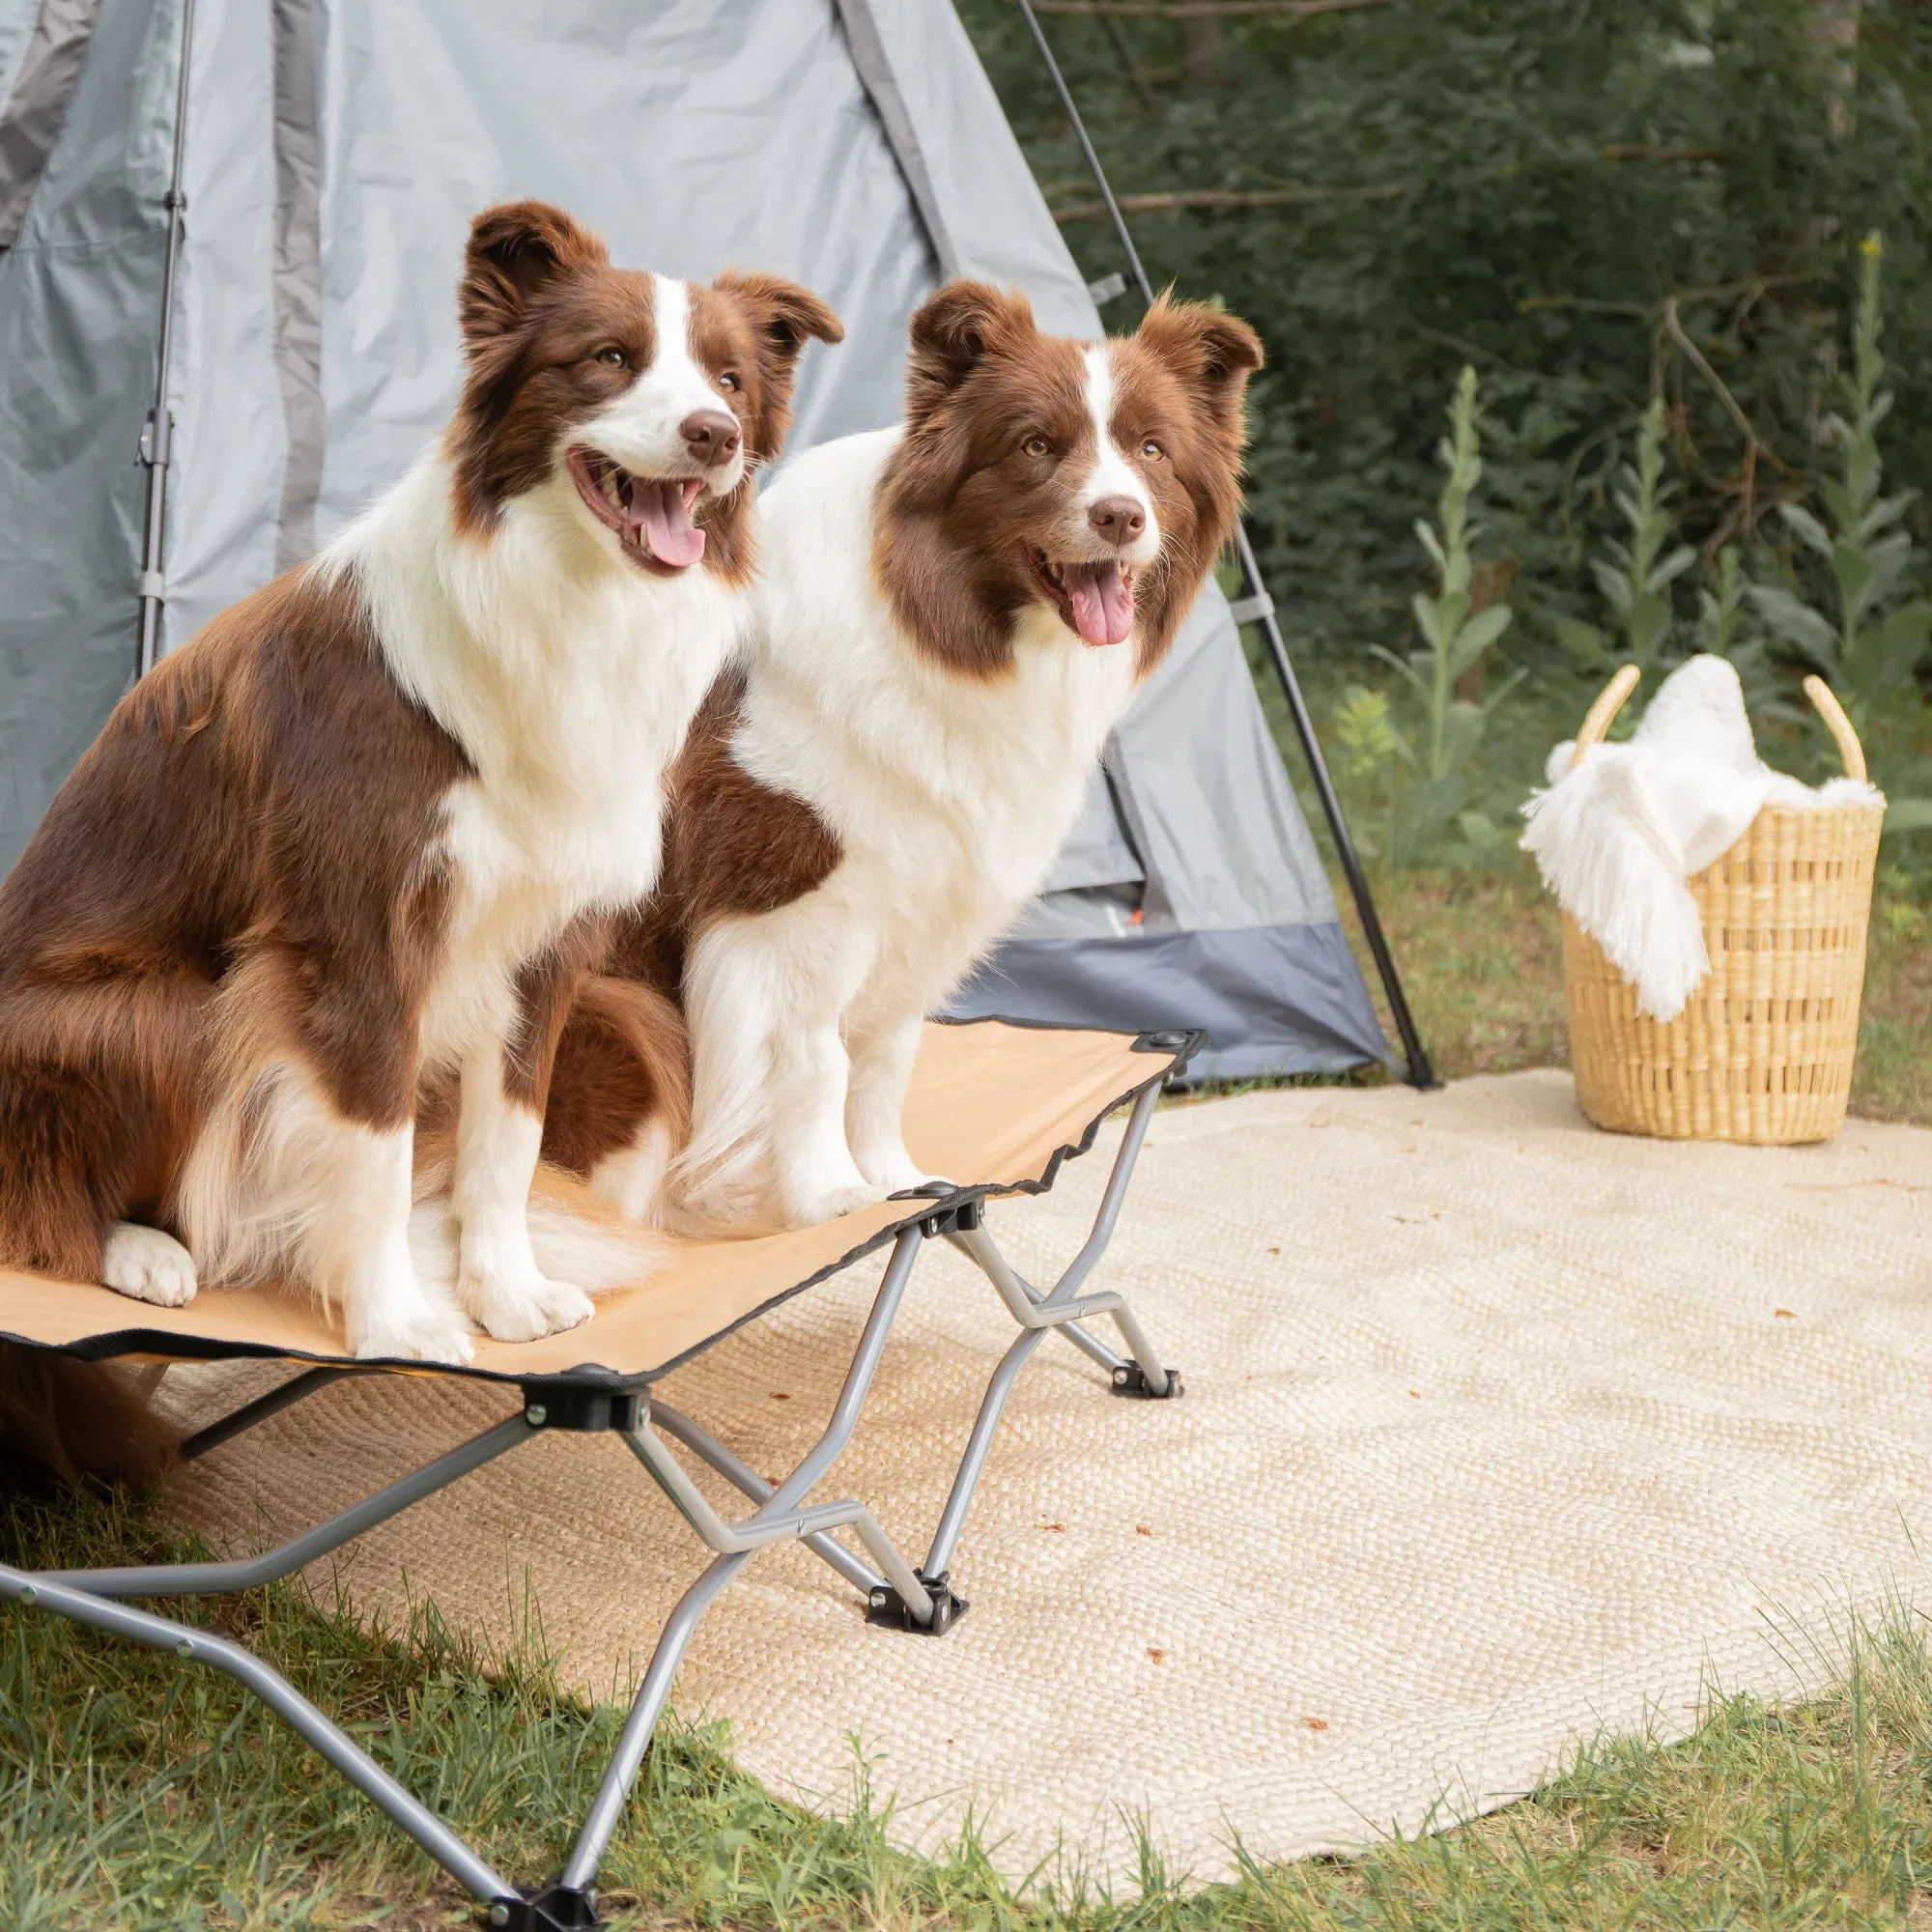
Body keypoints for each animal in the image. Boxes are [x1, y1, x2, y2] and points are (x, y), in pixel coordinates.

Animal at [0, 200, 838, 1437]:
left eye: (730, 377)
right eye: (608, 359)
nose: (712, 435)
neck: (571, 602)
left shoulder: (543, 940)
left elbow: (506, 1144)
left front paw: (505, 1291)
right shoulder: (355, 940)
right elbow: (379, 1146)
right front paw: (393, 1317)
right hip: (163, 1010)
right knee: (46, 1191)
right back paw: (144, 1253)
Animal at [545, 280, 1260, 1229]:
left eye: (1152, 450)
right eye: (1035, 445)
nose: (1120, 516)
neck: (939, 620)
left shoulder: (922, 895)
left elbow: (884, 1064)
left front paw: (896, 1184)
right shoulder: (784, 907)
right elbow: (814, 1062)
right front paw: (828, 1197)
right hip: (619, 1008)